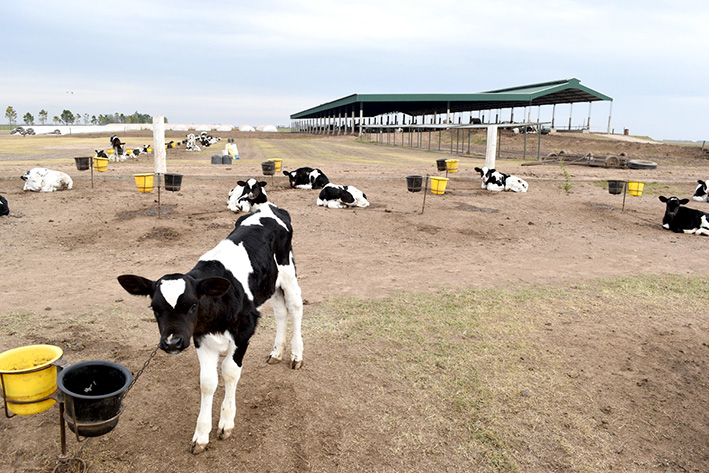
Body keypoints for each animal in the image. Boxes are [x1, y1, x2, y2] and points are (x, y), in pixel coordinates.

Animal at [117, 204, 304, 454]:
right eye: (155, 308)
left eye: (193, 305)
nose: (172, 342)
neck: (215, 312)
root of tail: (269, 207)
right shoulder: (200, 338)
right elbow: (207, 382)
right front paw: (201, 434)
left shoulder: (245, 329)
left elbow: (230, 371)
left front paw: (226, 422)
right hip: (270, 284)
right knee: (281, 312)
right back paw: (276, 352)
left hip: (288, 273)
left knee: (295, 308)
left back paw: (296, 355)